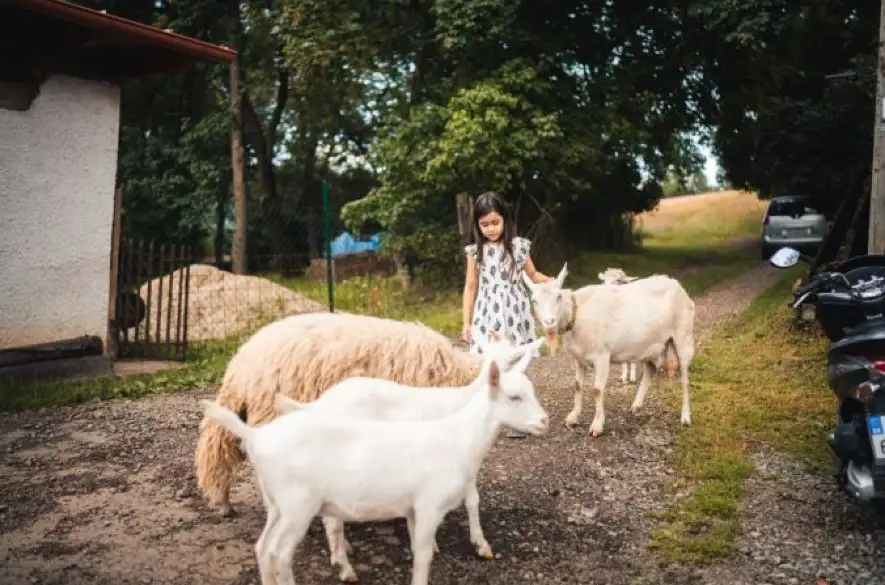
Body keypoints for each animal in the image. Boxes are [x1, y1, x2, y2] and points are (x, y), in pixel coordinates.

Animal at [200, 340, 548, 584]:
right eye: (514, 396)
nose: (544, 421)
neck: (459, 432)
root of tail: (257, 436)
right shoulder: (429, 503)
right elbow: (430, 549)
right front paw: (479, 545)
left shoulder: (415, 507)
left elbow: (420, 545)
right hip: (297, 504)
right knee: (280, 553)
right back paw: (342, 565)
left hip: (278, 505)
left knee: (262, 549)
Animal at [520, 262, 696, 436]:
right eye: (534, 300)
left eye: (558, 296)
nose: (549, 321)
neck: (578, 314)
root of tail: (677, 285)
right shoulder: (579, 358)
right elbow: (577, 386)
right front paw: (573, 417)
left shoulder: (602, 356)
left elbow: (597, 390)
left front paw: (597, 425)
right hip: (652, 344)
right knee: (650, 370)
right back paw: (637, 405)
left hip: (683, 336)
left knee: (685, 379)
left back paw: (685, 417)